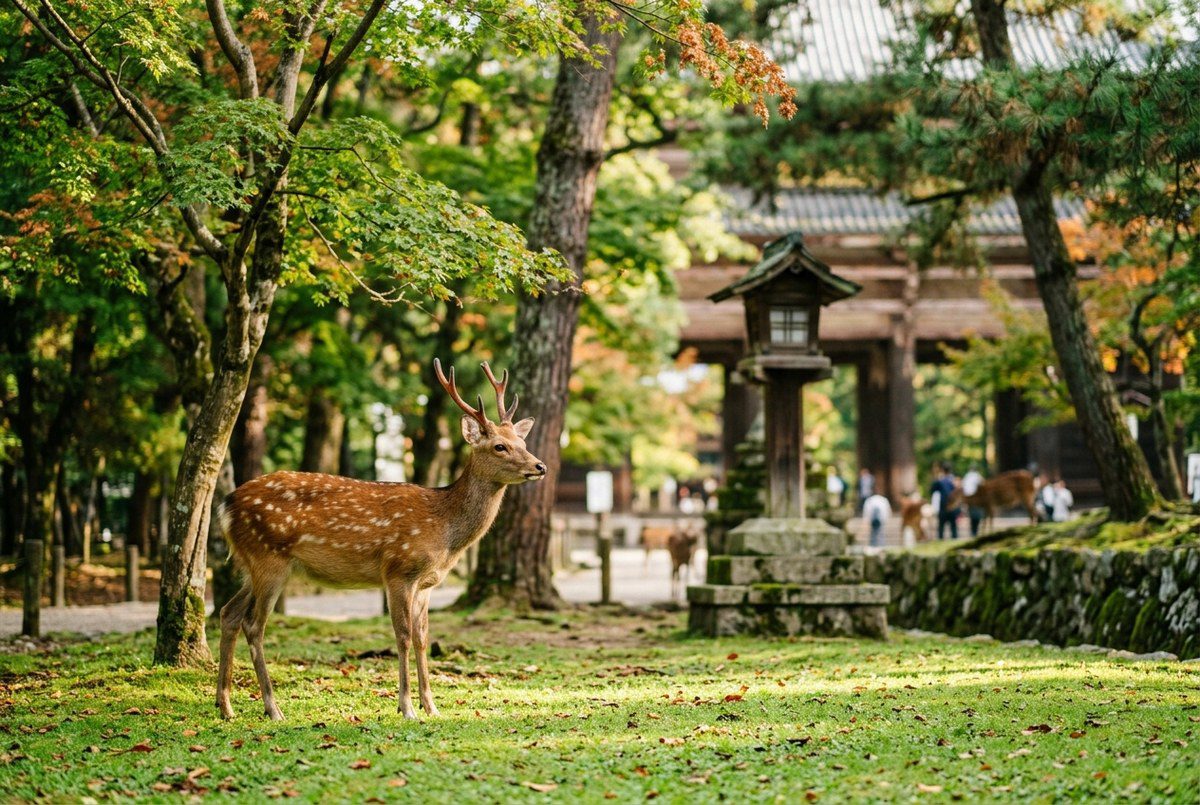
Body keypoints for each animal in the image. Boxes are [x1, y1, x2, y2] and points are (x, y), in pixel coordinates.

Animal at [215, 359, 545, 721]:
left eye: (522, 443)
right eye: (500, 446)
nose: (540, 466)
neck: (445, 530)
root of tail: (226, 505)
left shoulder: (427, 583)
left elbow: (422, 638)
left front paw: (431, 706)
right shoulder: (399, 570)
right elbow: (402, 636)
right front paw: (407, 707)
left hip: (252, 564)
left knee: (228, 614)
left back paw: (225, 706)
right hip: (269, 557)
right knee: (253, 624)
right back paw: (272, 708)